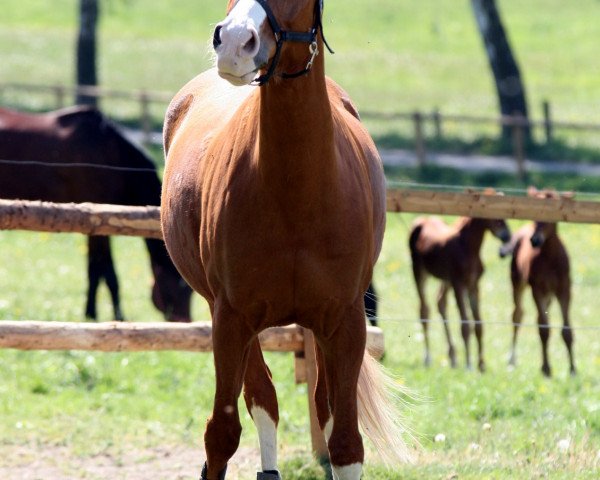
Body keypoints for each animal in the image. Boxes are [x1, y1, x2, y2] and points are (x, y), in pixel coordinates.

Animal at [0, 105, 192, 322]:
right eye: (173, 287)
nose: (185, 321)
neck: (111, 152)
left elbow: (95, 269)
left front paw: (91, 313)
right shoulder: (100, 222)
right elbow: (106, 273)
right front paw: (115, 316)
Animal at [162, 0, 410, 480]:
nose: (233, 41)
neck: (296, 190)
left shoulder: (345, 321)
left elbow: (345, 442)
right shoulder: (230, 318)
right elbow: (221, 436)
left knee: (319, 407)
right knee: (262, 398)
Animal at [408, 213, 510, 372]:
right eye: (492, 217)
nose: (506, 235)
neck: (468, 247)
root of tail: (421, 220)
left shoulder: (473, 286)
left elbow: (478, 325)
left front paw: (481, 365)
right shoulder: (459, 284)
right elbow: (465, 325)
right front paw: (468, 364)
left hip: (446, 280)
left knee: (440, 303)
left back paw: (453, 357)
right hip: (419, 272)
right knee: (424, 311)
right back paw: (428, 358)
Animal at [502, 188, 576, 378]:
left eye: (554, 211)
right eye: (536, 212)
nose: (534, 240)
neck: (550, 258)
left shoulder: (564, 290)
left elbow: (567, 330)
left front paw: (573, 370)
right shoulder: (538, 289)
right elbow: (544, 329)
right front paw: (546, 369)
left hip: (549, 295)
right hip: (518, 283)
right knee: (517, 316)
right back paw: (511, 361)